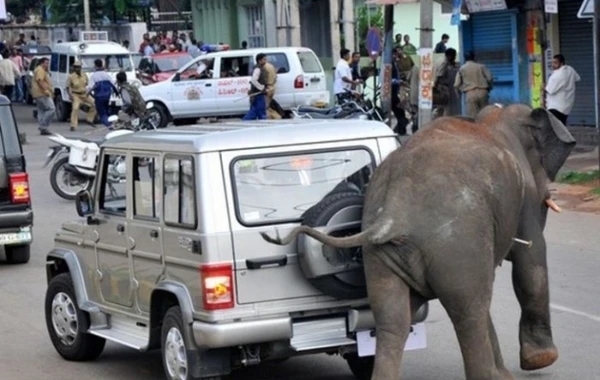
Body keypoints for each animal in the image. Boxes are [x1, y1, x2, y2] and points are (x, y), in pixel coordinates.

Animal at [260, 102, 576, 378]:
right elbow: (530, 262)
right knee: (469, 309)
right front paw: (542, 359)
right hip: (456, 242)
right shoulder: (523, 198)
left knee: (392, 318)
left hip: (384, 255)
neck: (491, 119)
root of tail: (394, 213)